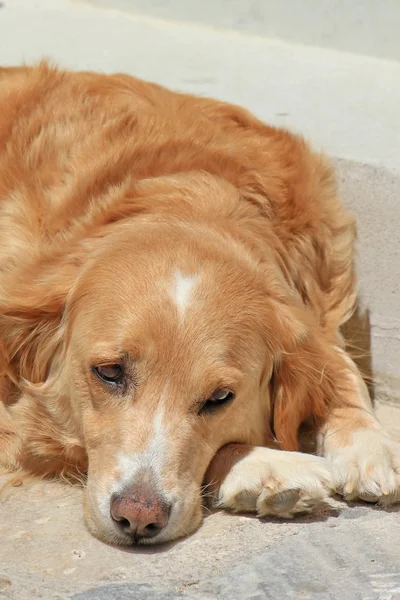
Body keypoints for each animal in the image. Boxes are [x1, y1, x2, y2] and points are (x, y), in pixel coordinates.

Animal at [0, 62, 398, 544]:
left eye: (220, 397)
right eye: (109, 372)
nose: (137, 516)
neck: (189, 204)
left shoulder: (313, 310)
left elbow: (341, 367)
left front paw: (368, 444)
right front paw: (264, 464)